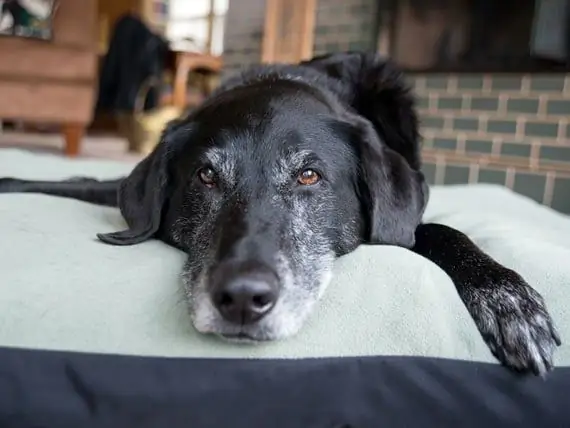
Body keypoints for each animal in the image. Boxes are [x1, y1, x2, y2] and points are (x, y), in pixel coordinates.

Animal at [1, 52, 560, 374]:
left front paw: (507, 297)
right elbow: (68, 183)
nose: (243, 300)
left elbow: (439, 230)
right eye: (206, 177)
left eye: (309, 176)